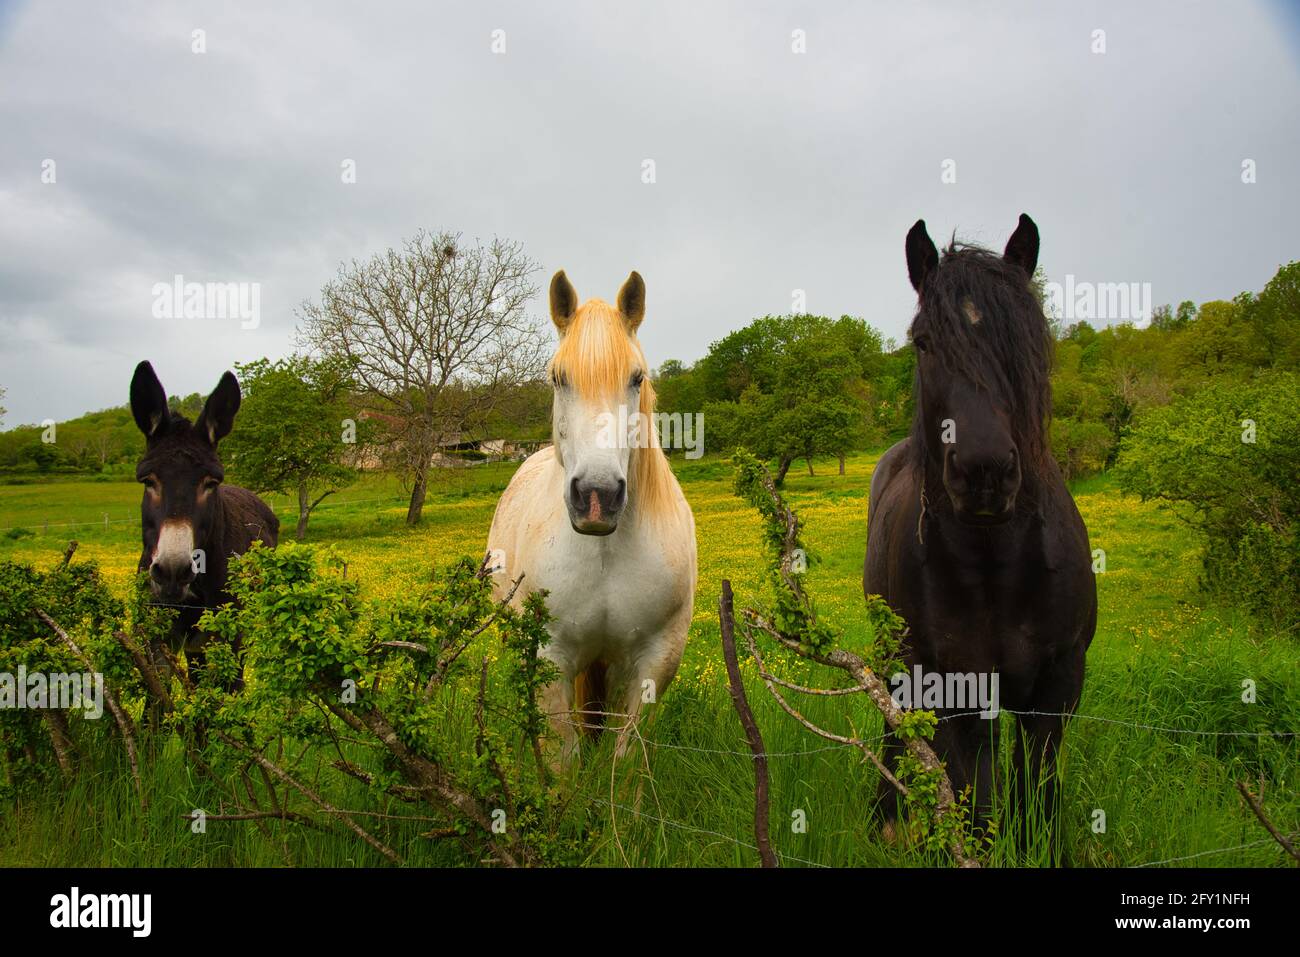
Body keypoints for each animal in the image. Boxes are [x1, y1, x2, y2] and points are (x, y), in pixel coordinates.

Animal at [486, 270, 697, 766]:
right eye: (557, 378)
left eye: (637, 378)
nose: (597, 497)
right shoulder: (548, 657)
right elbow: (563, 761)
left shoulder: (654, 661)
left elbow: (627, 762)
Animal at [863, 215, 1096, 860]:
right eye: (923, 342)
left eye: (1028, 332)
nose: (984, 470)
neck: (998, 565)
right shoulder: (954, 690)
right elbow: (977, 806)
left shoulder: (1057, 687)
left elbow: (1037, 795)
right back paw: (886, 817)